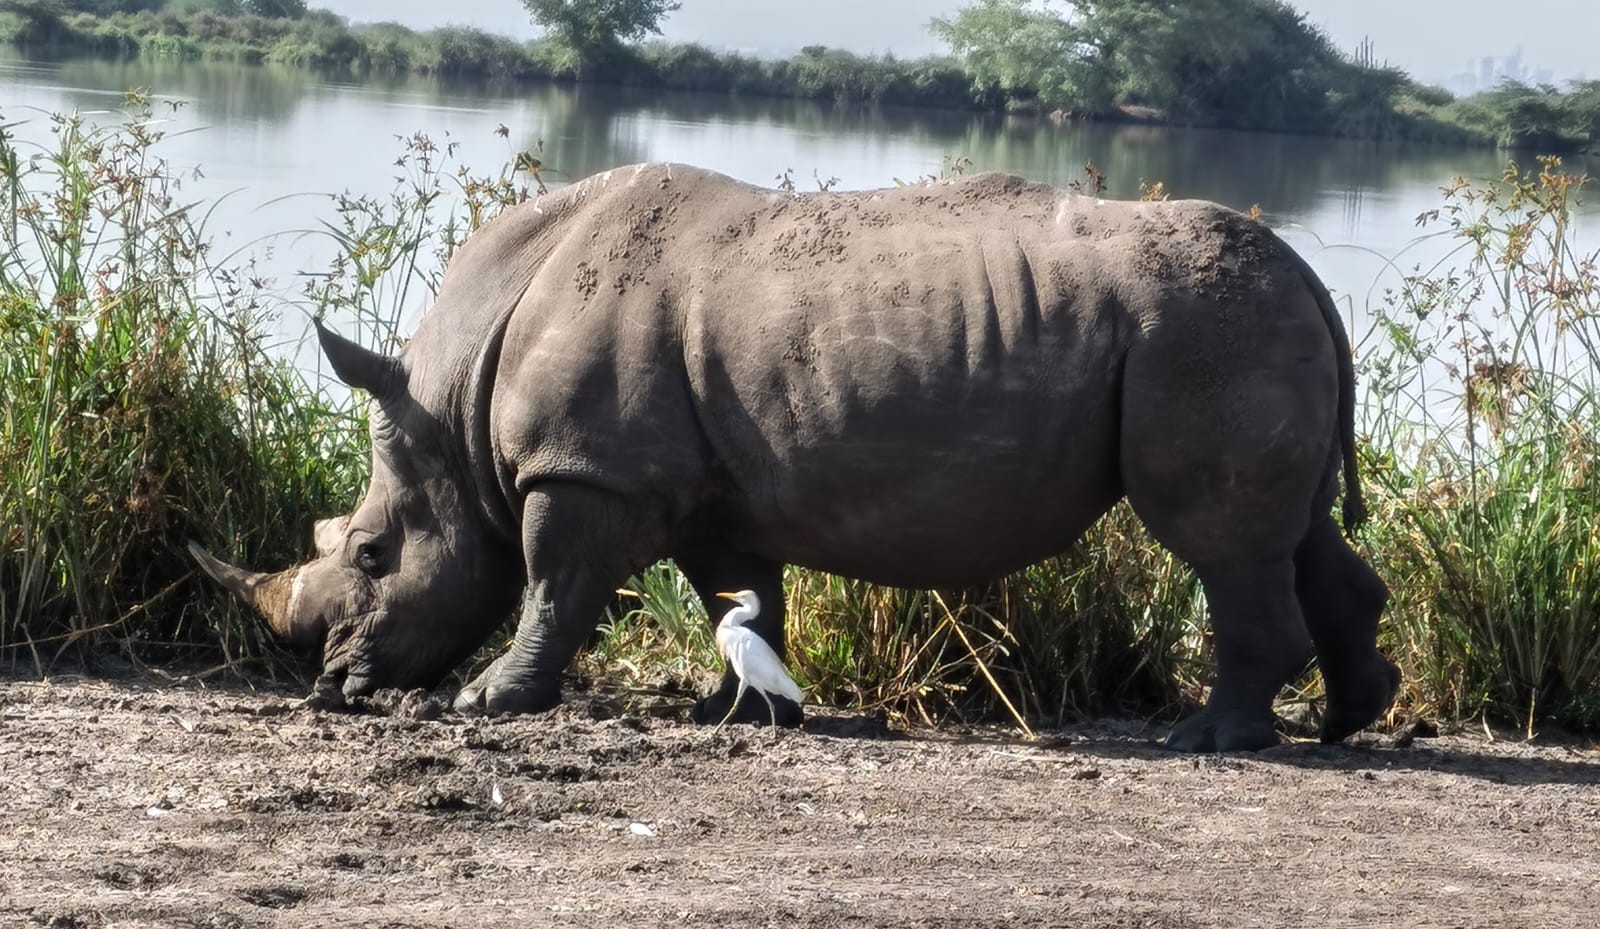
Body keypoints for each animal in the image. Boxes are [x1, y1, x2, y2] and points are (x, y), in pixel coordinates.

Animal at [191, 163, 1399, 752]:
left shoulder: (582, 468)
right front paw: (738, 707)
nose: (333, 683)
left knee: (1220, 540)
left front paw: (490, 704)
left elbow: (551, 583)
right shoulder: (692, 487)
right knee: (1294, 532)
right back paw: (1349, 719)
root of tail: (1305, 272)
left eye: (373, 552)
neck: (454, 399)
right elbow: (738, 591)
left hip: (1202, 330)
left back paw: (1217, 739)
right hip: (1241, 325)